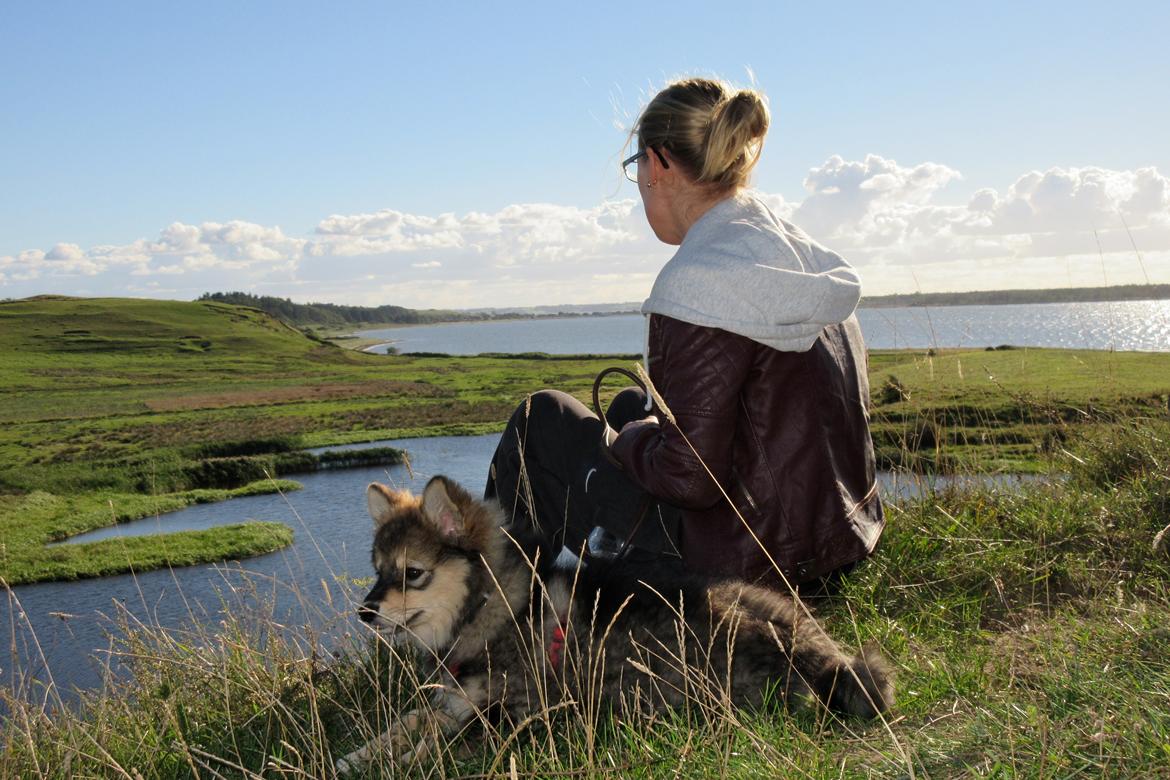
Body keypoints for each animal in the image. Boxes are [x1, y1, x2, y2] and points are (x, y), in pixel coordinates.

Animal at [339, 477, 893, 776]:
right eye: (378, 571)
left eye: (413, 573)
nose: (365, 612)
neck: (497, 609)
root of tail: (826, 658)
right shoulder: (454, 701)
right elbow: (407, 721)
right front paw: (357, 755)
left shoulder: (517, 715)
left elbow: (434, 744)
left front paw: (395, 763)